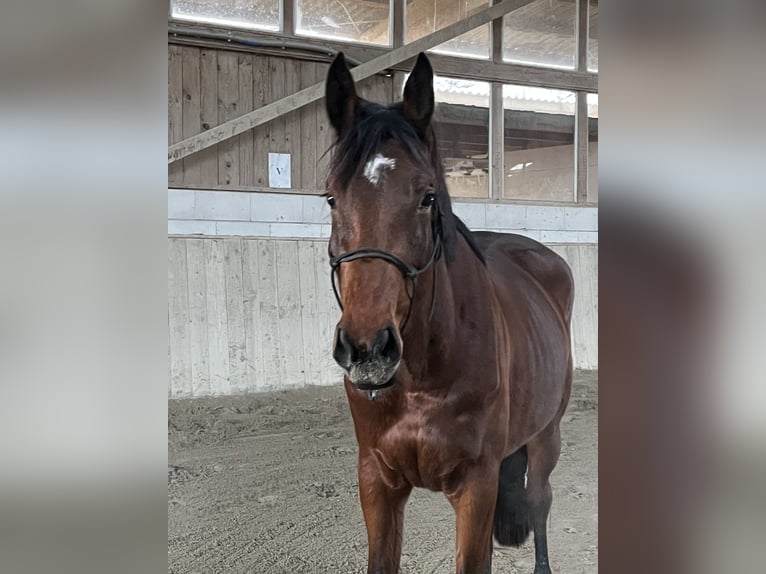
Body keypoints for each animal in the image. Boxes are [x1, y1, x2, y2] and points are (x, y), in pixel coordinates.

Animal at [326, 51, 576, 572]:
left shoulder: (476, 485)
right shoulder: (376, 481)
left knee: (540, 500)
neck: (422, 372)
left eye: (427, 197)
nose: (368, 349)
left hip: (547, 435)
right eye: (332, 197)